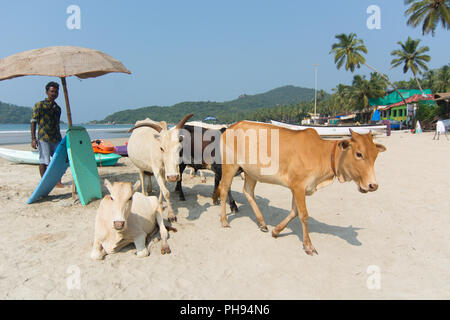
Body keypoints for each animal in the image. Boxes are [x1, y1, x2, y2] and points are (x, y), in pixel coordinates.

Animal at [216, 121, 384, 256]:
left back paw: (262, 223)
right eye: (359, 154)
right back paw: (224, 220)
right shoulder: (298, 186)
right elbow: (303, 215)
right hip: (230, 166)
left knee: (248, 191)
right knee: (224, 188)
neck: (321, 154)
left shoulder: (298, 188)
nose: (373, 185)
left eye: (376, 156)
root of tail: (231, 127)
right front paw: (308, 245)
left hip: (251, 172)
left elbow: (294, 212)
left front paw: (276, 231)